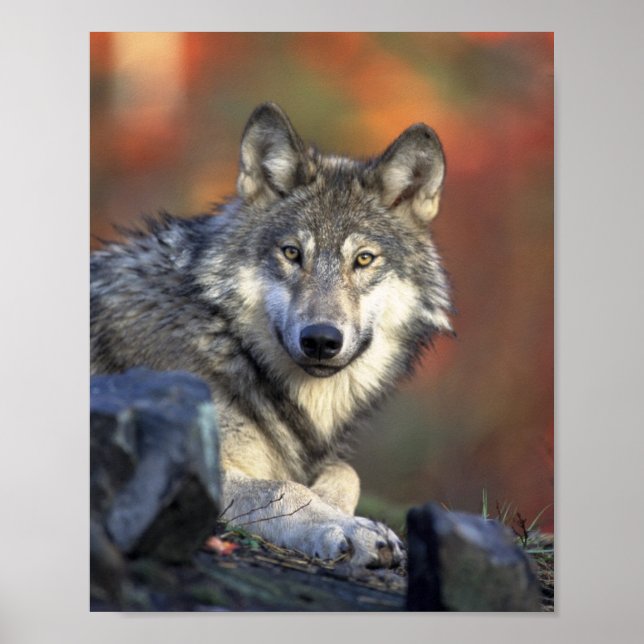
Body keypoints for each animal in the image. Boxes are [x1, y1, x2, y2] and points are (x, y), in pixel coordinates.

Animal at [91, 102, 452, 568]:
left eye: (364, 259)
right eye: (292, 253)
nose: (321, 340)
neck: (228, 341)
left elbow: (345, 472)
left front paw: (340, 510)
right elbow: (283, 488)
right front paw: (351, 529)